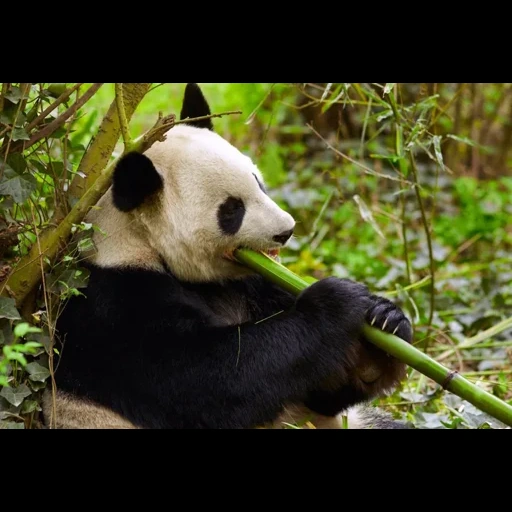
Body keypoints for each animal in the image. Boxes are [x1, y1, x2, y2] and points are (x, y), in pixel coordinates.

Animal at [42, 83, 414, 428]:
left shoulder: (252, 284)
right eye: (232, 209)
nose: (286, 230)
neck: (141, 241)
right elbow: (208, 381)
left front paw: (383, 324)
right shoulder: (115, 305)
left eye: (258, 182)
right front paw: (335, 303)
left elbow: (323, 390)